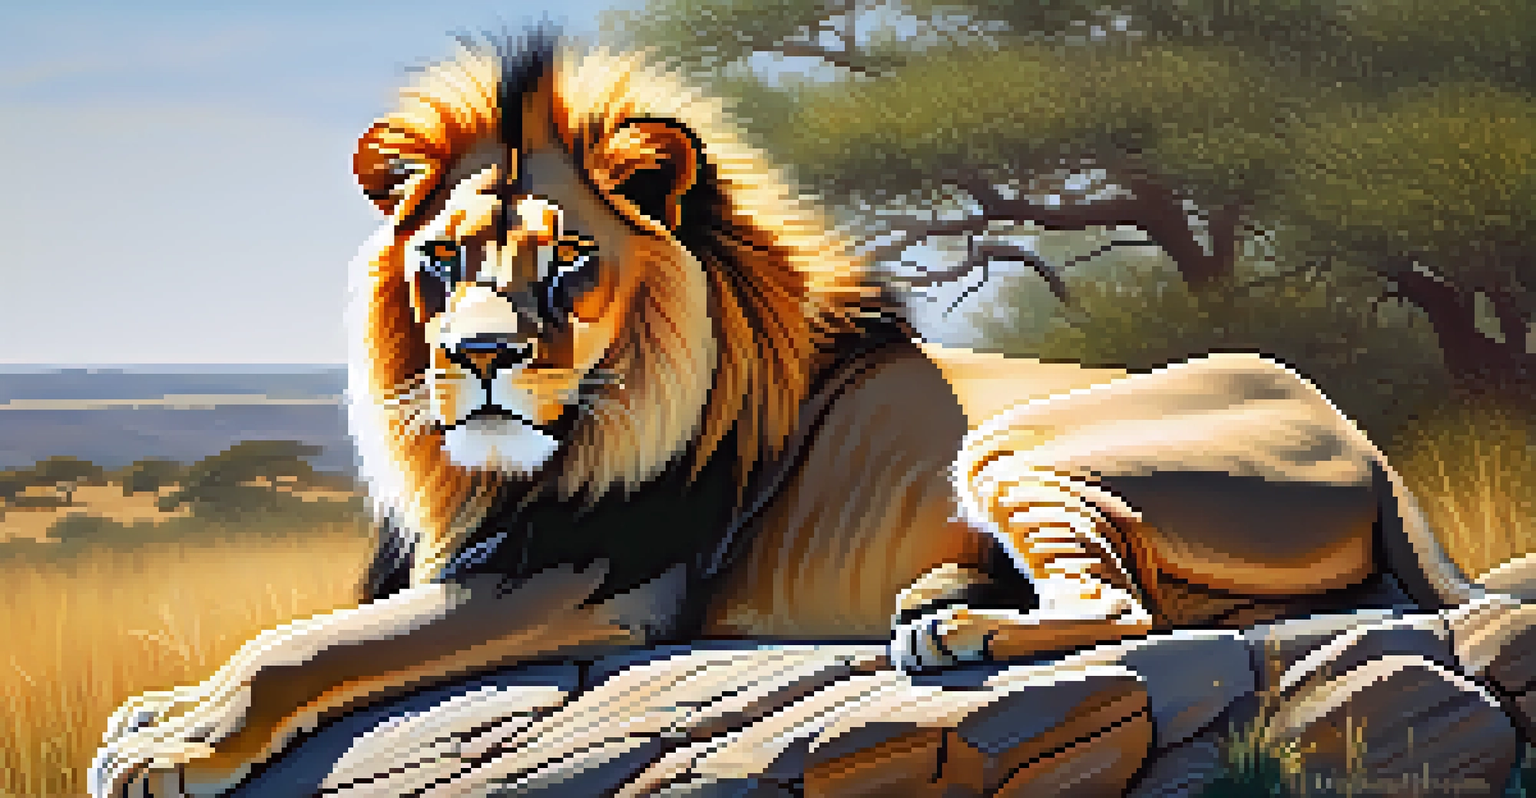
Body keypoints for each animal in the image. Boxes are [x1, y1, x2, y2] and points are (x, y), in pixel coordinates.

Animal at [90, 30, 1480, 796]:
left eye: (568, 264)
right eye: (442, 259)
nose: (480, 355)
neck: (493, 470)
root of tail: (1365, 438)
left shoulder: (594, 583)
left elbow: (311, 644)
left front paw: (174, 751)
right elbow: (293, 633)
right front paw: (162, 709)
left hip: (1017, 444)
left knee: (1127, 605)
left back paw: (957, 630)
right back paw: (943, 594)